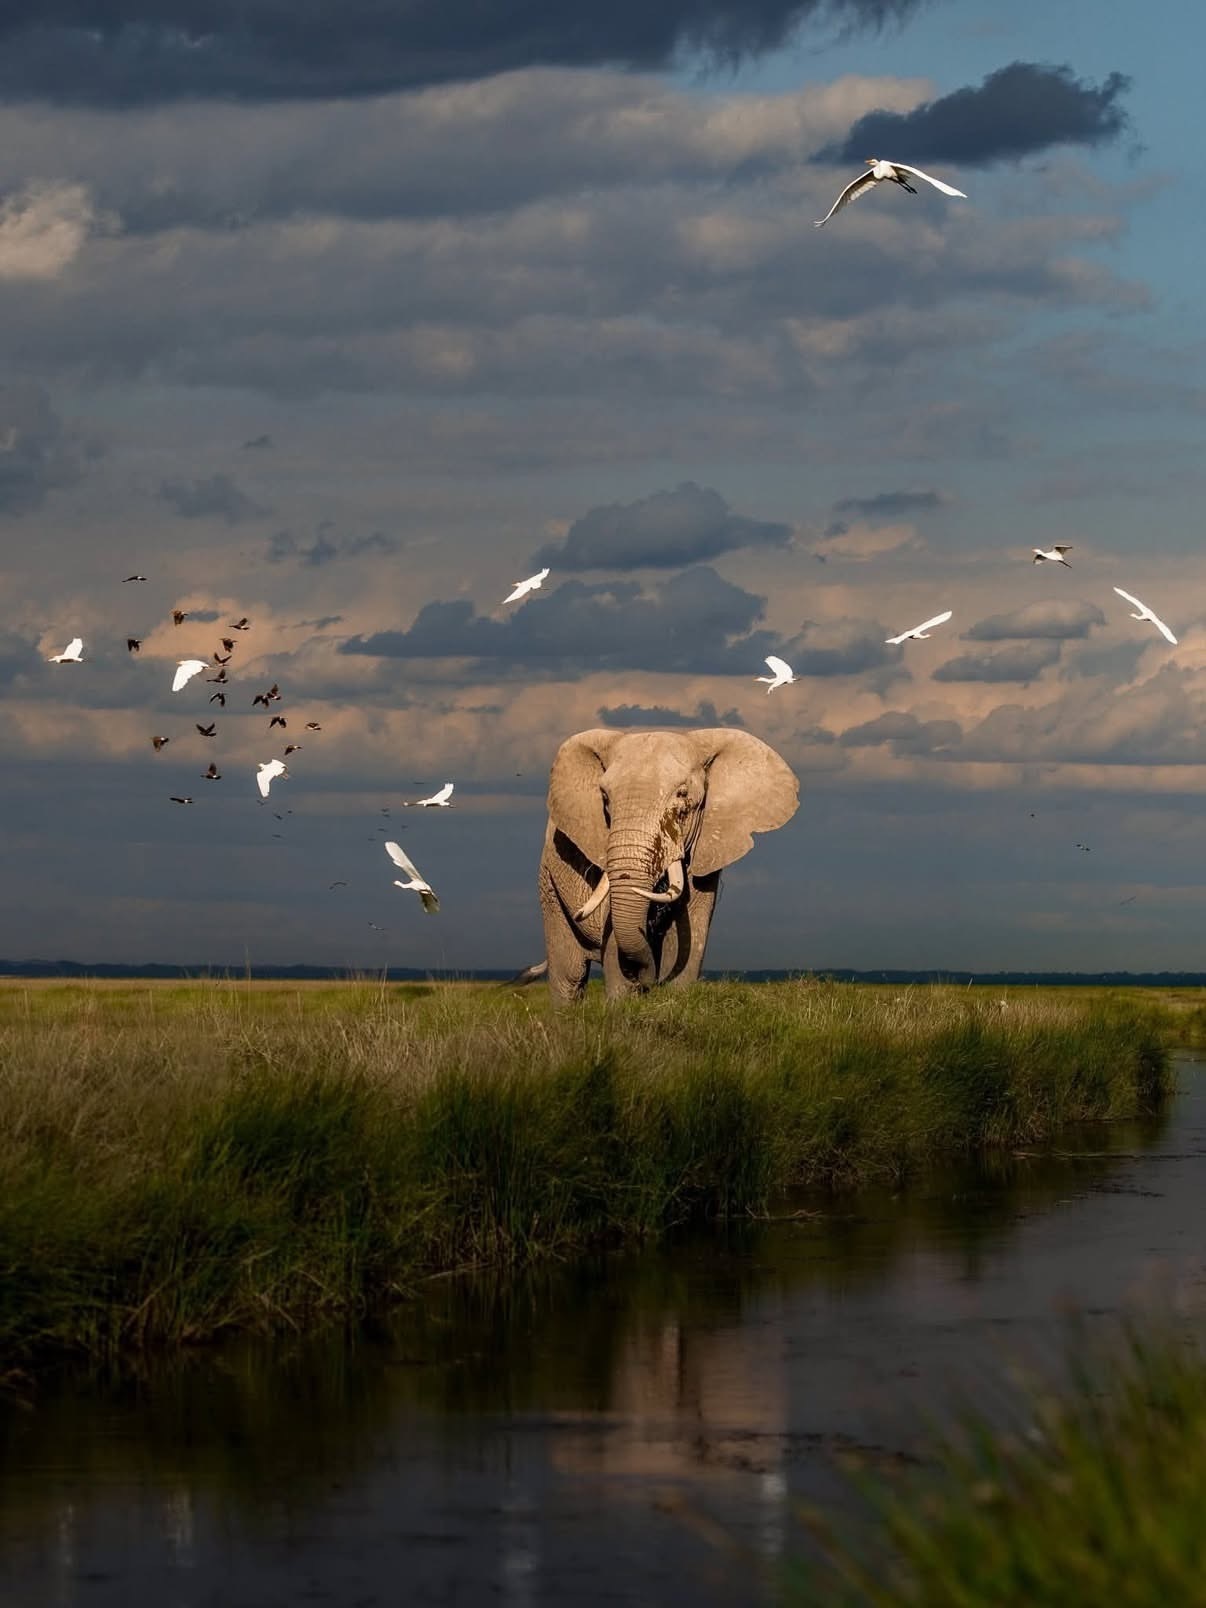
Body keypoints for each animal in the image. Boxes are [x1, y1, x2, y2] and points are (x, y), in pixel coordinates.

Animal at [538, 727, 799, 1002]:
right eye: (604, 797)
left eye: (682, 795)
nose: (648, 983)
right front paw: (624, 1003)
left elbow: (688, 934)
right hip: (549, 883)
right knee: (569, 975)